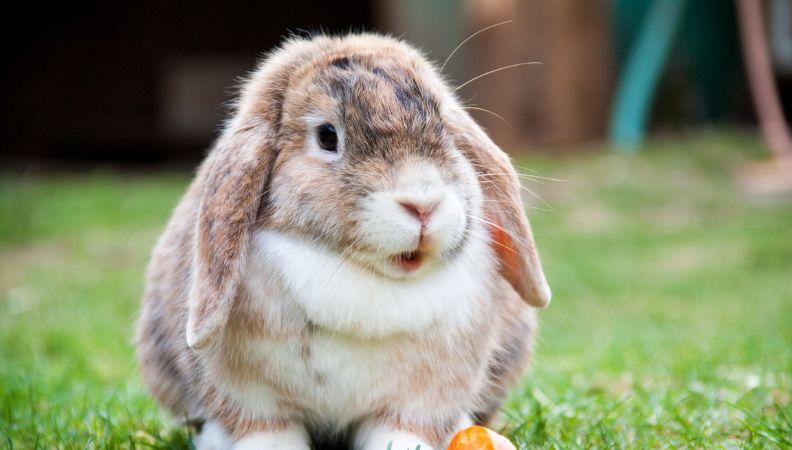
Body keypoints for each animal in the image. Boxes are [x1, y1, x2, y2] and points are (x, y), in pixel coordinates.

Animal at [135, 32, 551, 450]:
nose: (423, 204)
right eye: (327, 136)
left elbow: (401, 429)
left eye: (445, 130)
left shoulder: (421, 399)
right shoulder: (252, 400)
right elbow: (266, 429)